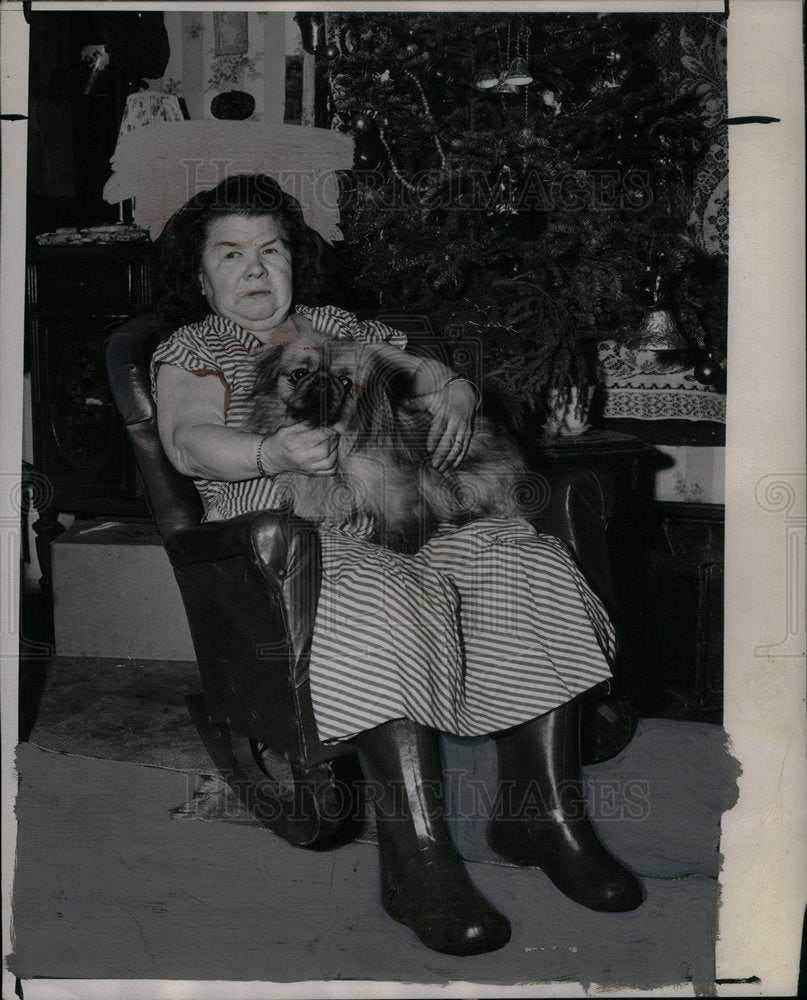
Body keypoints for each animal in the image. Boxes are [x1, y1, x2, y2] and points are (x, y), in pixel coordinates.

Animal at [246, 336, 532, 556]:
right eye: (299, 374)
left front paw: (393, 542)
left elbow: (399, 514)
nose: (322, 381)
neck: (336, 435)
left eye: (346, 382)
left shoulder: (395, 484)